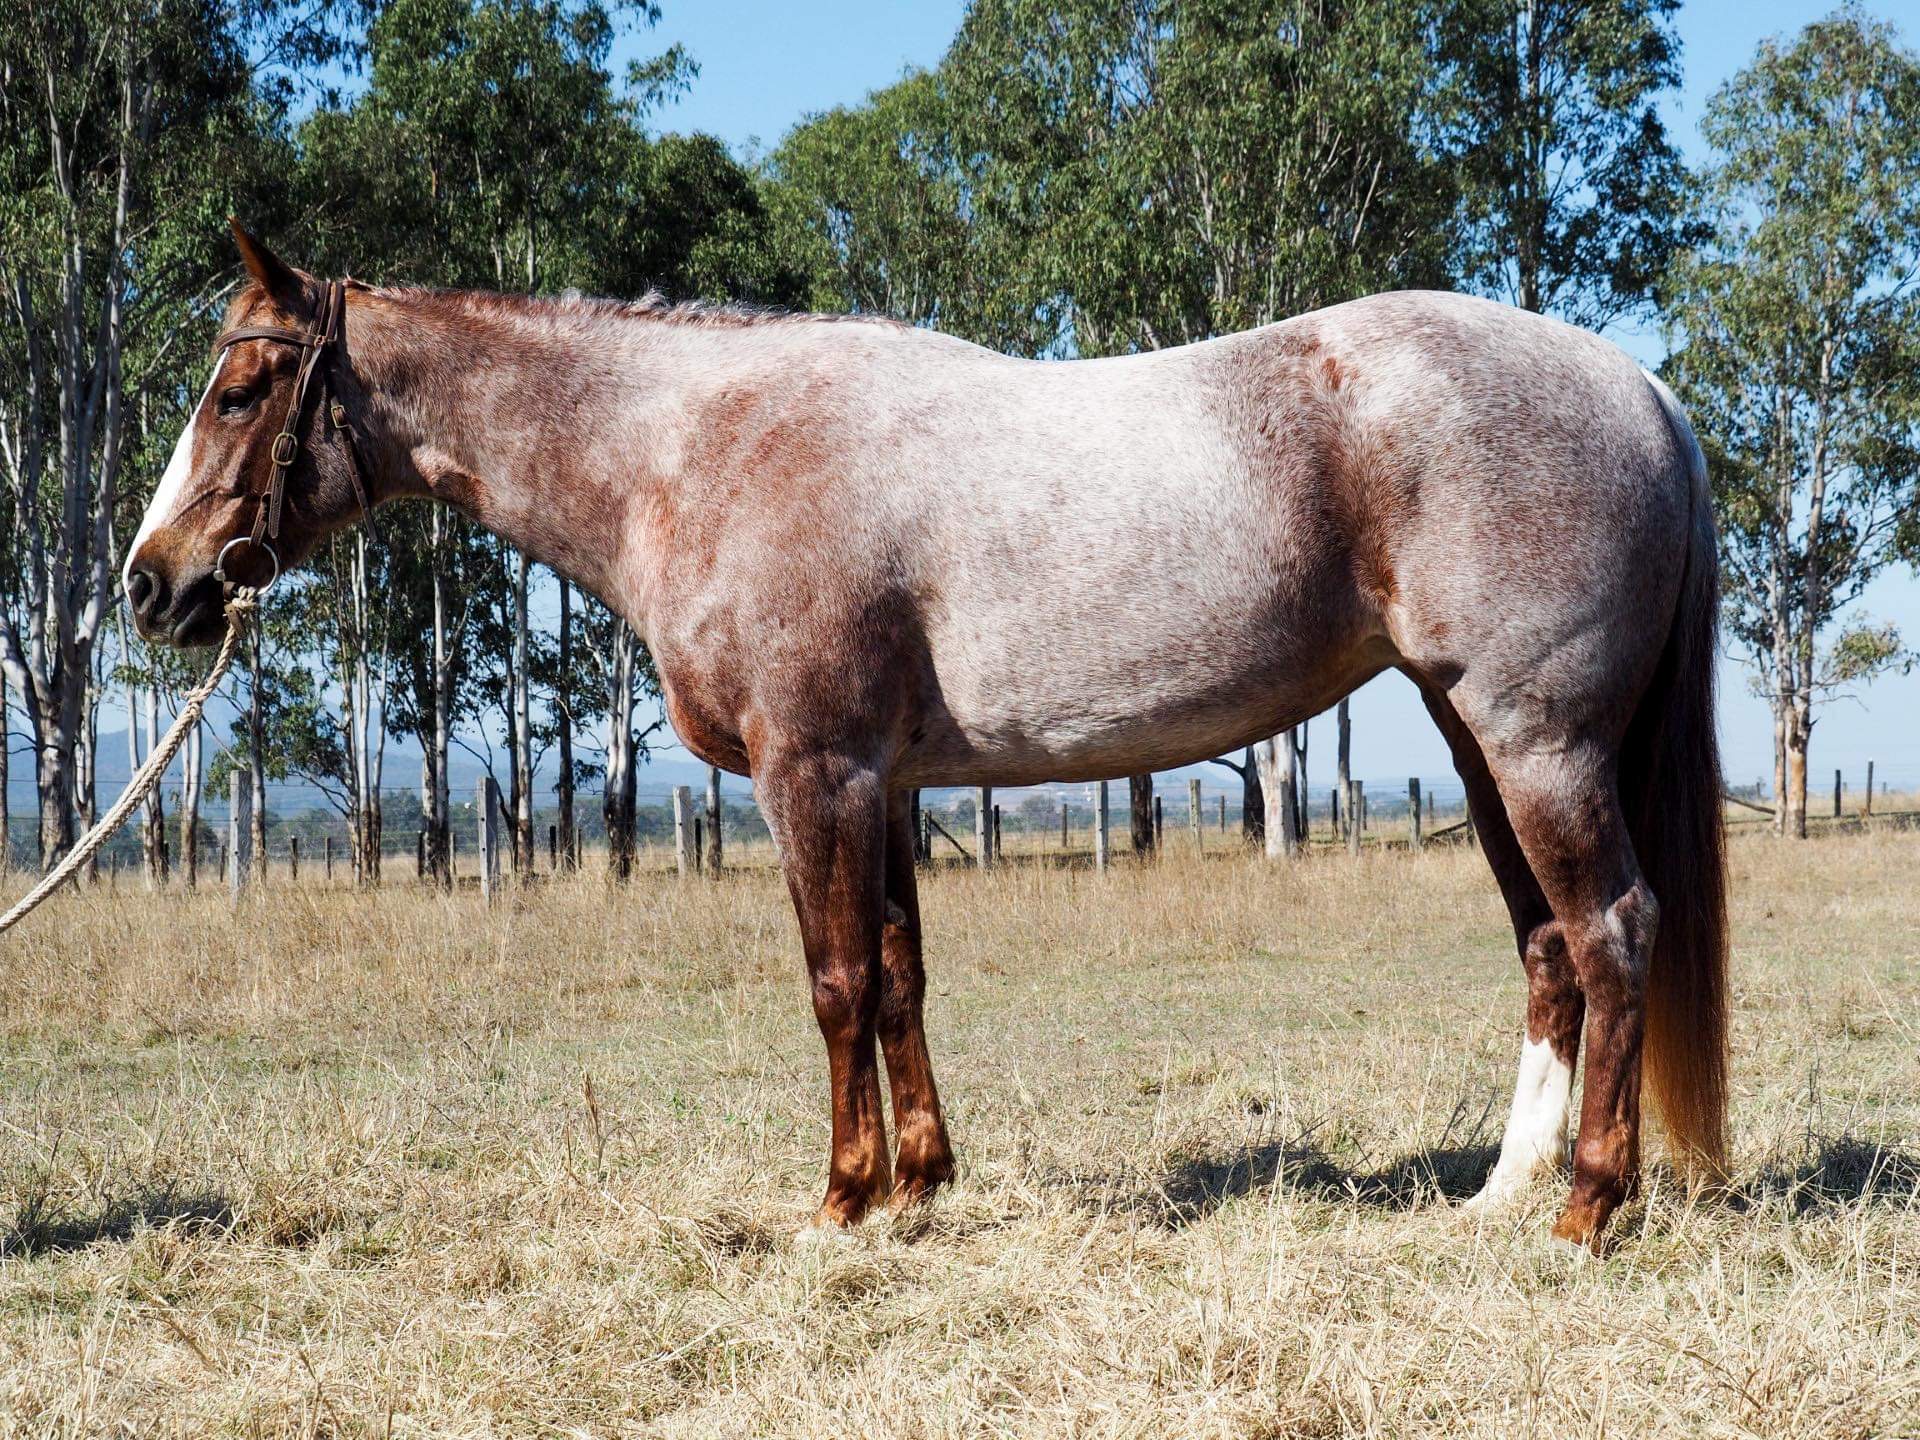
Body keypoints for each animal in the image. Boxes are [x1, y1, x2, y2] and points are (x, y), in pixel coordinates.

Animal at [125, 223, 1728, 1248]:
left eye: (239, 388)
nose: (153, 585)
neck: (697, 452)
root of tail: (1640, 386)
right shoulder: (883, 785)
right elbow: (898, 977)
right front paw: (921, 1185)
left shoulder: (812, 773)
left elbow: (836, 983)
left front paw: (841, 1202)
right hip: (1478, 740)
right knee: (1551, 948)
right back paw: (1504, 1195)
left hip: (1537, 742)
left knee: (1614, 932)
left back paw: (1589, 1208)